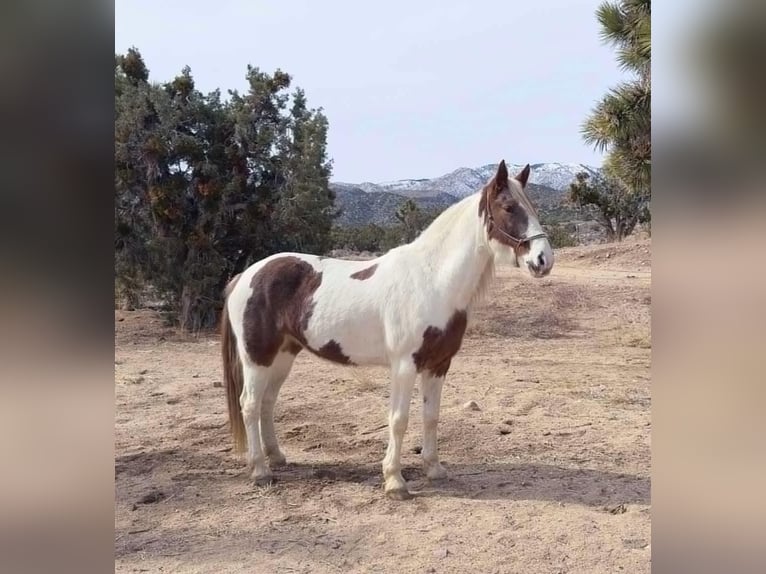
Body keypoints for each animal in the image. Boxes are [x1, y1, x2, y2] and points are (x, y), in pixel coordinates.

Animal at [219, 161, 556, 500]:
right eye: (509, 207)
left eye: (532, 206)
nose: (544, 260)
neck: (432, 280)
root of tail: (245, 275)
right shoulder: (405, 366)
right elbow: (399, 420)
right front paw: (395, 481)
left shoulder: (439, 365)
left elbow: (431, 417)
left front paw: (434, 469)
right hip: (257, 357)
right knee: (250, 404)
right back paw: (260, 470)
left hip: (284, 355)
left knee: (267, 401)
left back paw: (276, 457)